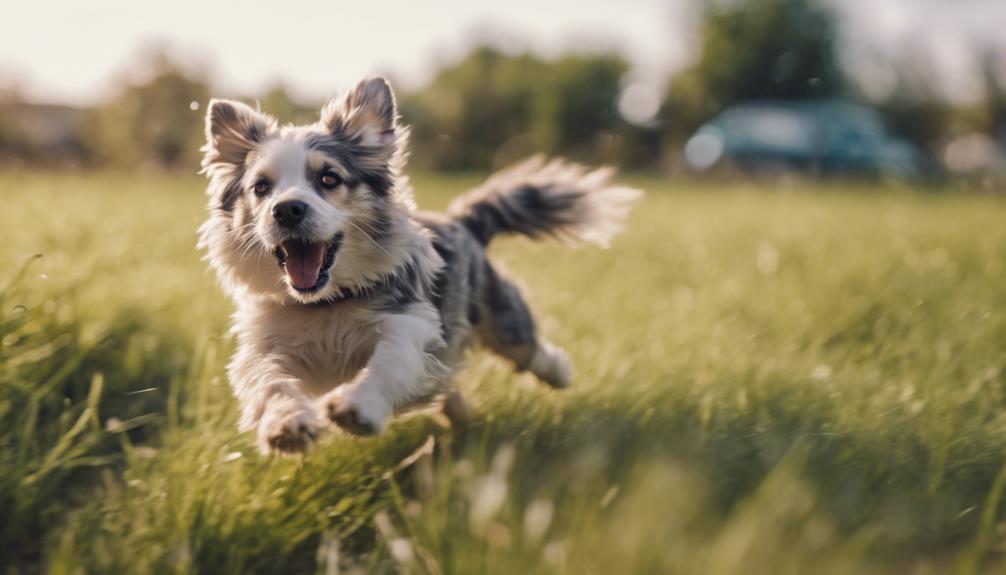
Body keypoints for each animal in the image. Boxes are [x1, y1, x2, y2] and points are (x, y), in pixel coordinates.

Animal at [197, 76, 639, 454]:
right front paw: (286, 424)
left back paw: (558, 372)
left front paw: (357, 407)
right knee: (449, 385)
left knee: (526, 348)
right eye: (261, 187)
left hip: (501, 317)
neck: (326, 304)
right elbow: (268, 381)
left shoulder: (409, 321)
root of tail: (464, 219)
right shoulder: (265, 345)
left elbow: (389, 362)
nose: (287, 209)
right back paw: (464, 425)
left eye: (328, 179)